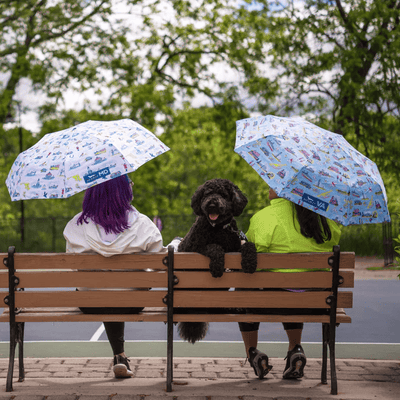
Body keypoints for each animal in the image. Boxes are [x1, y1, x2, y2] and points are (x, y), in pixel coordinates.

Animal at [177, 179, 258, 344]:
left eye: (223, 195)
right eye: (207, 194)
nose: (212, 204)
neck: (219, 228)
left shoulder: (236, 246)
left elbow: (248, 245)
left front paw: (250, 262)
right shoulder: (194, 247)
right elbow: (214, 247)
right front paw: (217, 265)